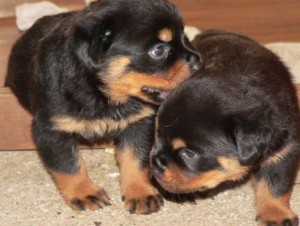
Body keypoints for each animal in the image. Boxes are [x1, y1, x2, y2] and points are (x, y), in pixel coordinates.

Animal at [4, 0, 200, 214]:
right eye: (158, 50)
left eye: (184, 36)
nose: (197, 60)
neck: (105, 96)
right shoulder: (51, 130)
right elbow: (69, 165)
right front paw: (84, 192)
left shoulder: (139, 123)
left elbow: (135, 159)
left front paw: (140, 193)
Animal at [151, 29, 300, 224]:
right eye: (157, 134)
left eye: (189, 154)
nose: (155, 163)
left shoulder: (285, 149)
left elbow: (275, 184)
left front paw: (276, 215)